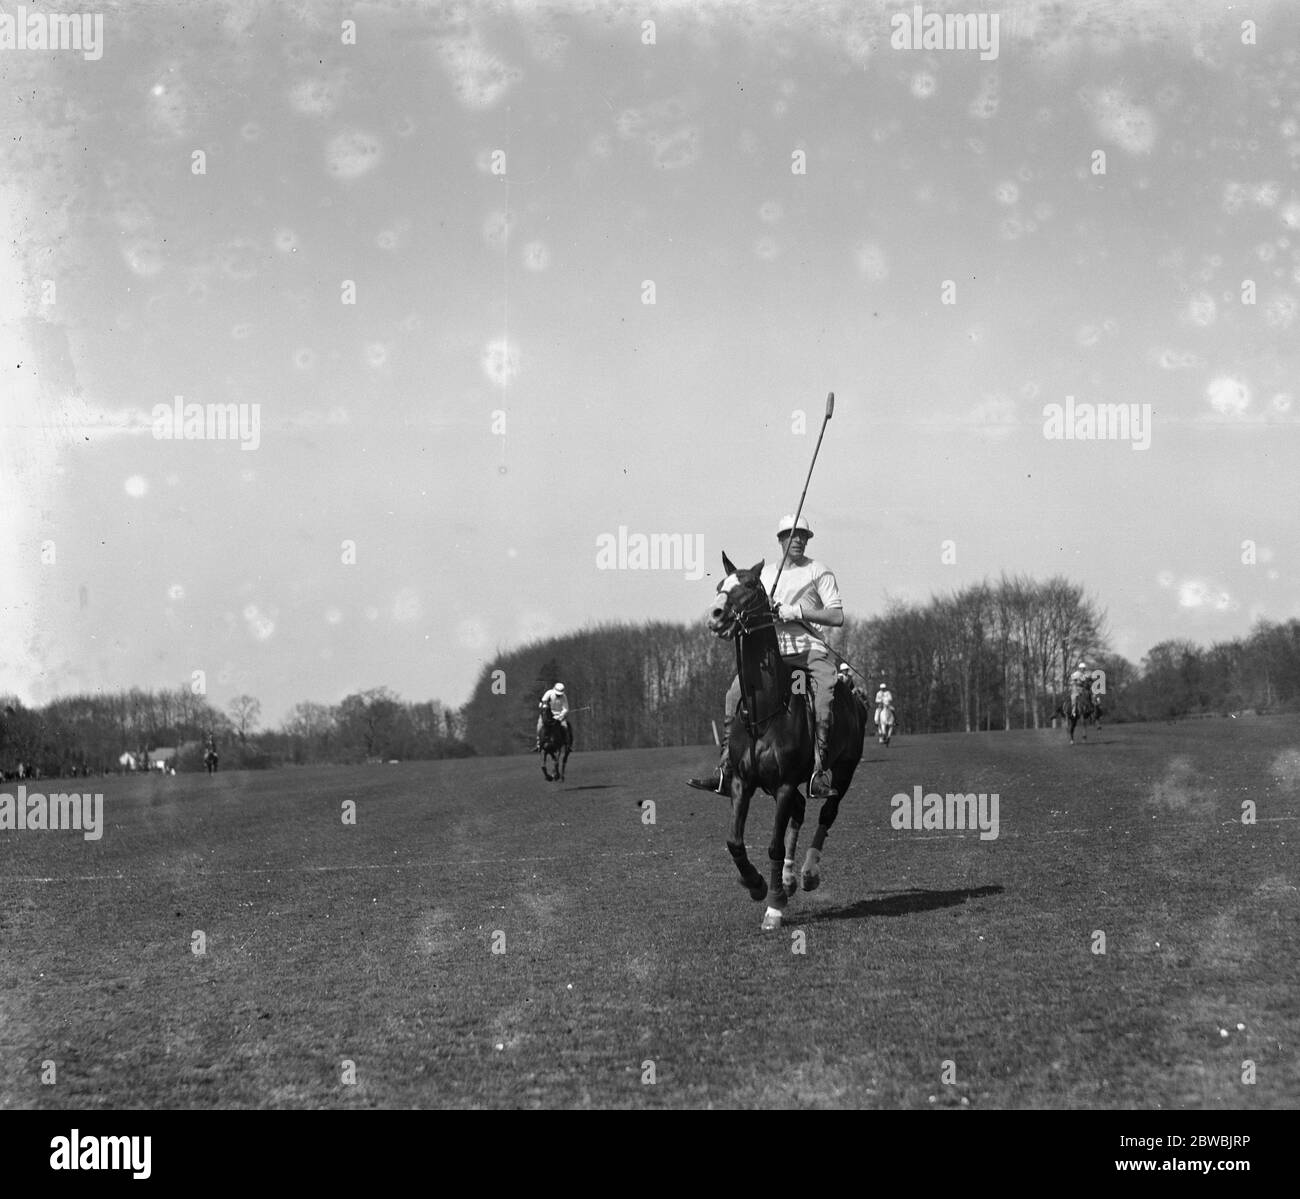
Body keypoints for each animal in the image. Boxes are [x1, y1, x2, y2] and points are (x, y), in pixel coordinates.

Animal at [707, 553, 868, 936]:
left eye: (751, 585)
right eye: (720, 585)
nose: (716, 615)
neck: (765, 709)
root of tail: (856, 697)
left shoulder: (781, 783)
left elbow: (774, 845)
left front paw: (774, 906)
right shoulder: (743, 781)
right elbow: (734, 841)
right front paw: (756, 884)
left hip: (844, 769)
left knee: (826, 812)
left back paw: (807, 873)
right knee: (800, 808)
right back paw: (790, 878)